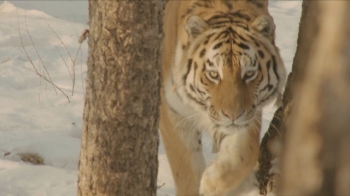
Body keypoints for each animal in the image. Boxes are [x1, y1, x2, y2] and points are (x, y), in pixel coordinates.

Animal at [160, 0, 286, 195]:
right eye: (213, 74)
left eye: (249, 74)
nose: (232, 115)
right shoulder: (173, 112)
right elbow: (186, 169)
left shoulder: (250, 114)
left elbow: (244, 154)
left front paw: (210, 183)